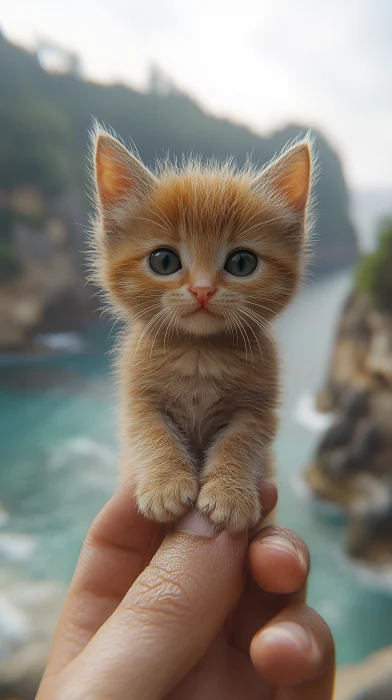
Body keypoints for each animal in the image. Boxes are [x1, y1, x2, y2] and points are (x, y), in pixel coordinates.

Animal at [90, 126, 314, 532]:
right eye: (164, 260)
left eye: (241, 263)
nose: (203, 289)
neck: (199, 353)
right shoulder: (136, 397)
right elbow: (150, 433)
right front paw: (165, 484)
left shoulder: (258, 408)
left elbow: (241, 441)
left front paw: (230, 493)